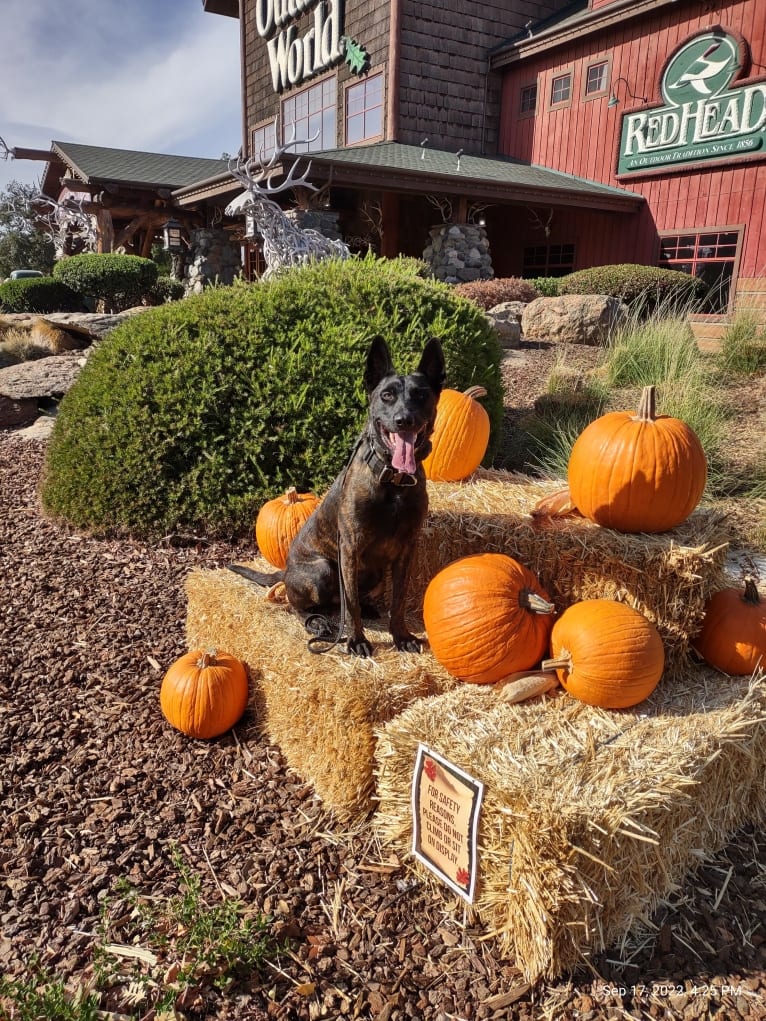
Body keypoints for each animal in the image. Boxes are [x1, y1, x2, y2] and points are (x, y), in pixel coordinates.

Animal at [227, 330, 443, 657]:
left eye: (420, 395)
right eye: (387, 395)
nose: (404, 419)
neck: (392, 482)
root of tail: (285, 572)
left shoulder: (407, 549)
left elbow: (398, 599)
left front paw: (401, 635)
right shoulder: (350, 548)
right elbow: (349, 604)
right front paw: (356, 640)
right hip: (323, 570)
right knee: (300, 605)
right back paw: (318, 623)